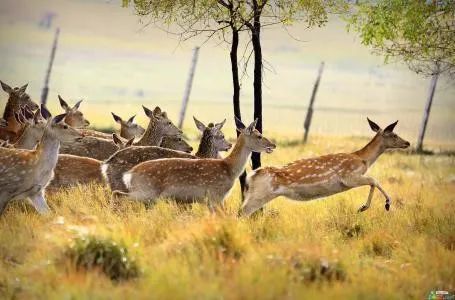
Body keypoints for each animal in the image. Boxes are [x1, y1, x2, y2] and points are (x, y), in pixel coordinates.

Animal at [114, 118, 276, 209]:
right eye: (259, 135)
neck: (229, 168)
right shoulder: (215, 195)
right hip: (146, 191)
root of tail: (130, 174)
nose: (273, 145)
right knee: (118, 194)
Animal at [240, 118, 412, 217]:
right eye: (394, 135)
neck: (363, 160)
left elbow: (373, 181)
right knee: (242, 212)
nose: (407, 142)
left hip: (255, 194)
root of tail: (252, 175)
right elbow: (374, 180)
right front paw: (377, 205)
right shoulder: (349, 176)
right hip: (261, 194)